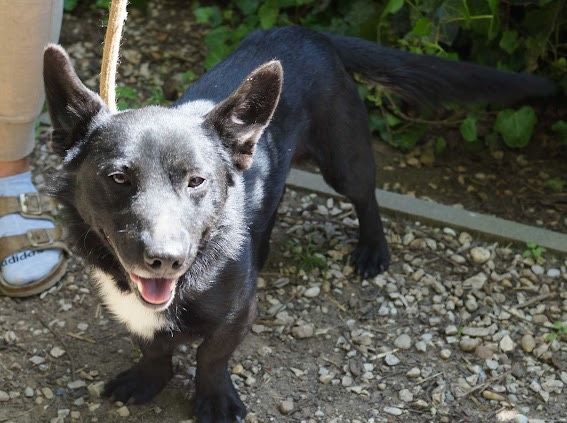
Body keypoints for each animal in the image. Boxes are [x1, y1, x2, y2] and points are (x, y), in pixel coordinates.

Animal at [43, 25, 556, 420]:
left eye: (196, 181)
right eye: (118, 178)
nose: (165, 260)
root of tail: (306, 31)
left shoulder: (238, 313)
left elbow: (212, 356)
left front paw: (214, 400)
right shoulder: (133, 312)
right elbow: (153, 347)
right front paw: (149, 379)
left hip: (344, 161)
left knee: (367, 197)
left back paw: (372, 249)